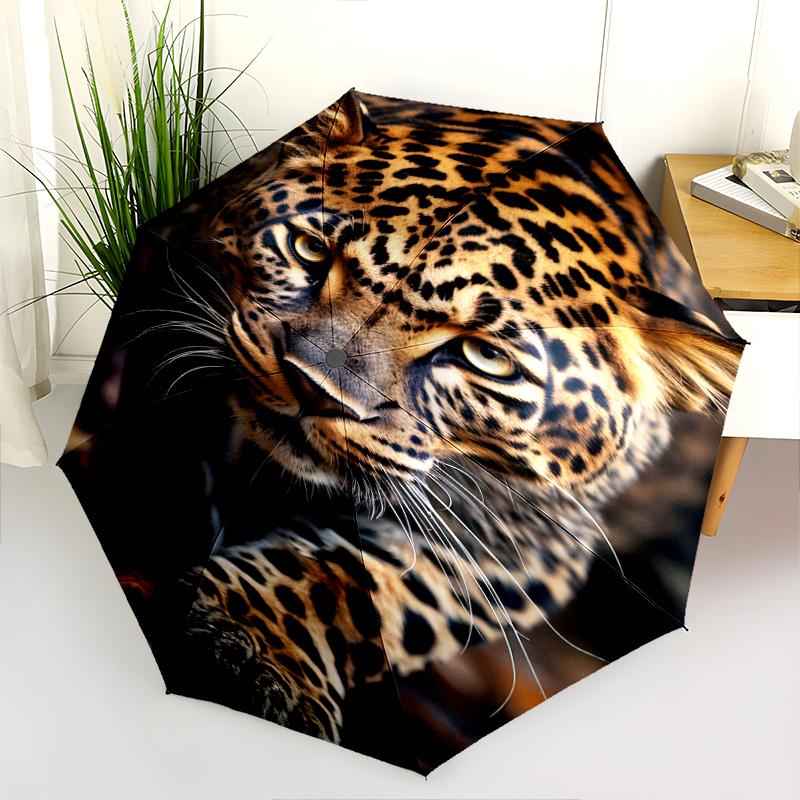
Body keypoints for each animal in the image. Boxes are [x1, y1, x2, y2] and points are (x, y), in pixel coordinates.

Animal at [156, 89, 743, 755]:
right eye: (309, 251)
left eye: (485, 357)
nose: (311, 388)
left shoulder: (534, 547)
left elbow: (356, 582)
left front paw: (257, 642)